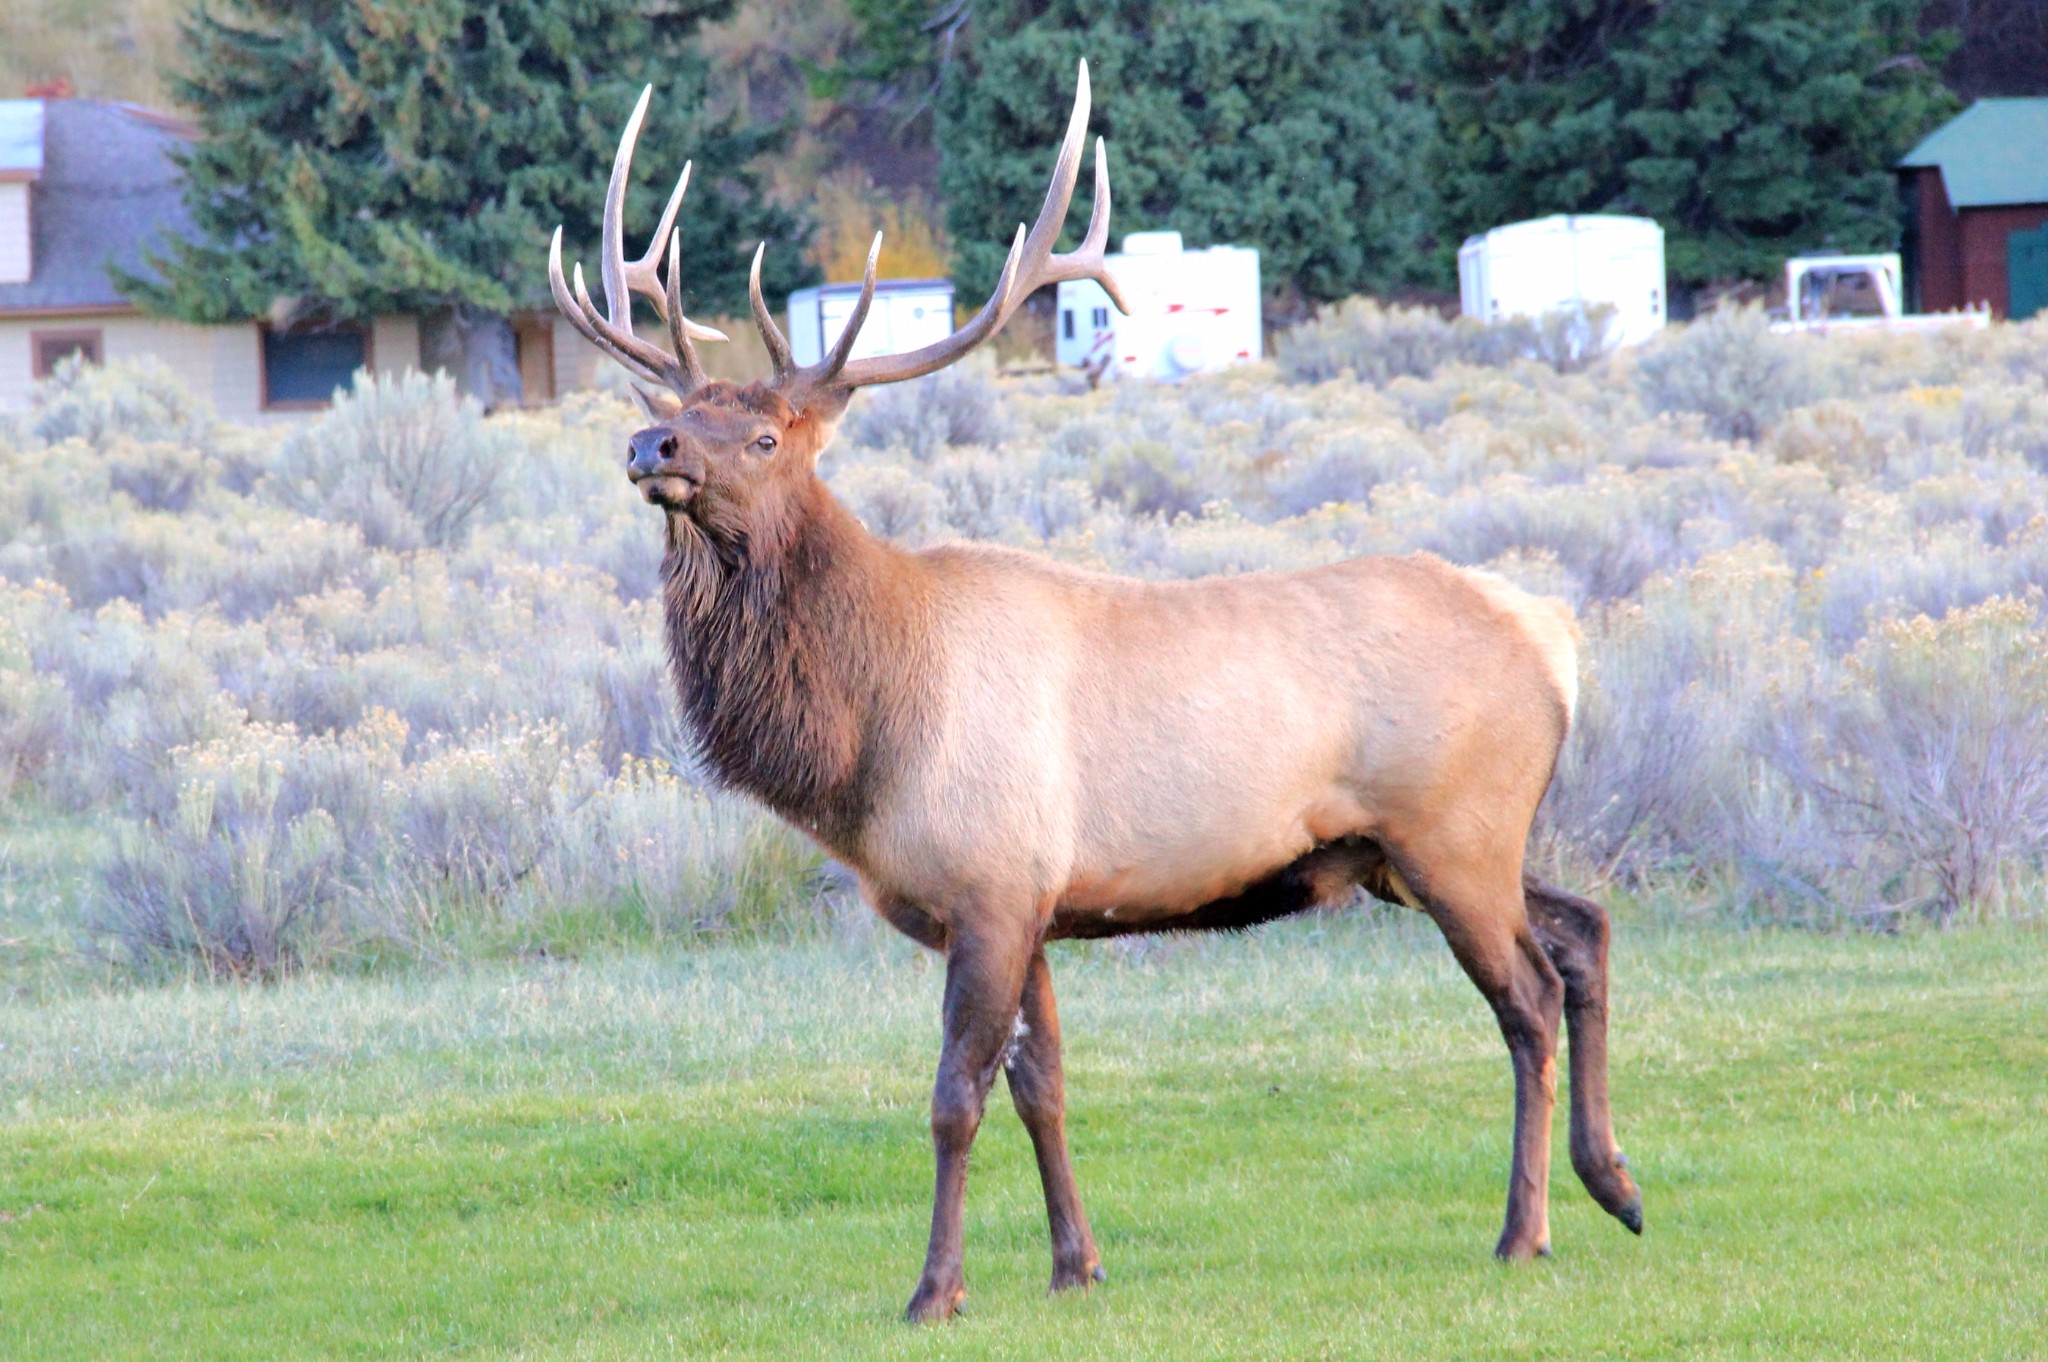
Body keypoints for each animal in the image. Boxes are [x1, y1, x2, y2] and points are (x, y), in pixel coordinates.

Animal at [552, 61, 1638, 1318]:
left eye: (767, 435)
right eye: (683, 413)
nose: (652, 449)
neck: (866, 742)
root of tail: (1550, 634)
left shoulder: (988, 885)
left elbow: (953, 1098)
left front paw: (934, 1290)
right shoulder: (1027, 902)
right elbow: (1044, 1085)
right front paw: (1076, 1262)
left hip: (1450, 830)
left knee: (1527, 997)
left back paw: (1526, 1229)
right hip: (1428, 848)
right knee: (1583, 926)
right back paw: (1615, 1184)